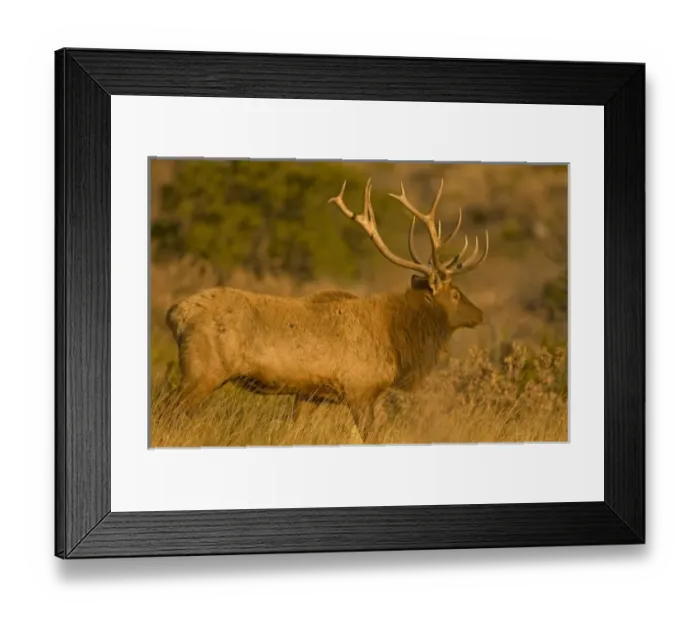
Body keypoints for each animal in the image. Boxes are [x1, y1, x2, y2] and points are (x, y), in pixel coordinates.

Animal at [165, 178, 489, 443]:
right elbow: (369, 436)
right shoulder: (360, 390)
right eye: (456, 294)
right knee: (168, 411)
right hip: (201, 372)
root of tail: (176, 315)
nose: (480, 314)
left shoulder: (310, 393)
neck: (397, 339)